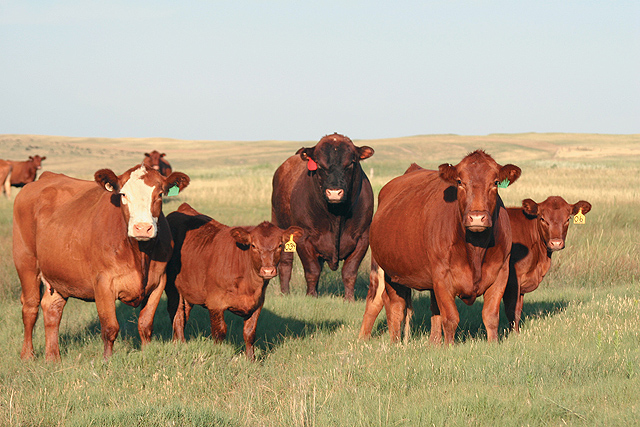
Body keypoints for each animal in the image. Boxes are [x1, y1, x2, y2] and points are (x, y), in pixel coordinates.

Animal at [13, 164, 190, 361]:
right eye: (123, 194)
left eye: (159, 194)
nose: (142, 228)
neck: (139, 253)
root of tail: (45, 177)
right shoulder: (103, 283)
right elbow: (110, 327)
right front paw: (107, 360)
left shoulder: (158, 282)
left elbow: (145, 324)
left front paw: (146, 354)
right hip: (26, 262)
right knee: (30, 307)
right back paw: (27, 355)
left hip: (58, 274)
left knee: (52, 308)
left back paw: (53, 358)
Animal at [165, 203, 303, 360]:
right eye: (253, 245)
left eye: (280, 245)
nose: (268, 271)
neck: (249, 286)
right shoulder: (215, 303)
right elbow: (219, 332)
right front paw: (218, 356)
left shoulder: (257, 304)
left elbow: (249, 333)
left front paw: (251, 360)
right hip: (172, 289)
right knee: (177, 316)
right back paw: (180, 344)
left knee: (184, 314)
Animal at [271, 133, 374, 301]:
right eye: (319, 164)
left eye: (351, 163)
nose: (334, 192)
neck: (336, 214)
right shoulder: (304, 237)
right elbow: (312, 270)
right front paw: (311, 296)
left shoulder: (362, 237)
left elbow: (350, 271)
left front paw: (349, 299)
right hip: (280, 225)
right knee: (286, 263)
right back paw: (285, 293)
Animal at [359, 150, 521, 344]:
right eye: (460, 181)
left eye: (495, 182)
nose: (477, 217)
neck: (476, 249)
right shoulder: (442, 276)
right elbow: (451, 318)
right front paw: (448, 347)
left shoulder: (501, 273)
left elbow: (490, 316)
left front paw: (493, 344)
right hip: (389, 270)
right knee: (390, 303)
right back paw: (385, 341)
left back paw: (433, 343)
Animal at [504, 196, 592, 332]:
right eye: (543, 219)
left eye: (567, 219)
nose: (556, 243)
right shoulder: (512, 280)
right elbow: (512, 310)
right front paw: (514, 334)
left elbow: (518, 310)